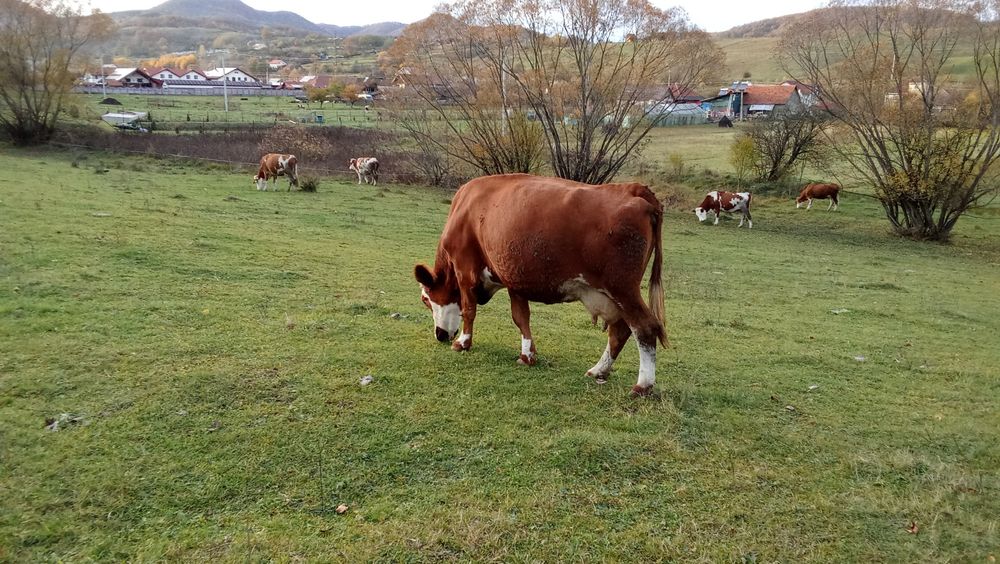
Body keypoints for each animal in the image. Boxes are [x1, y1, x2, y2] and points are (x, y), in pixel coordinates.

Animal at [414, 174, 668, 396]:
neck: (464, 209)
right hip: (616, 295)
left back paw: (642, 386)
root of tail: (634, 189)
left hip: (622, 289)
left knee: (645, 328)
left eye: (426, 300)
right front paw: (527, 355)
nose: (440, 335)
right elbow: (520, 317)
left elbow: (468, 310)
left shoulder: (465, 269)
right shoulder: (514, 279)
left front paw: (463, 343)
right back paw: (599, 370)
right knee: (620, 331)